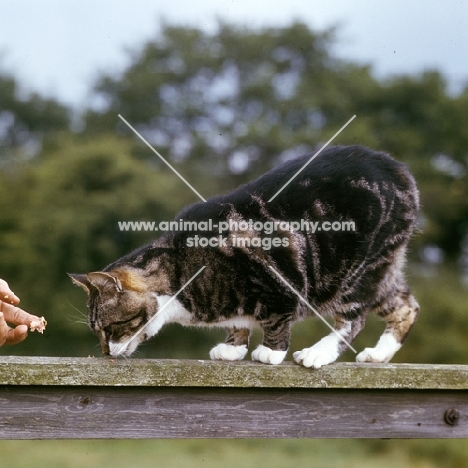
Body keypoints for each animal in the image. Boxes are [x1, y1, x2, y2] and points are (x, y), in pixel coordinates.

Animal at [69, 146, 420, 370]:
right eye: (96, 331)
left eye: (110, 327)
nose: (106, 352)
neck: (179, 271)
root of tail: (399, 169)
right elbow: (240, 320)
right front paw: (233, 346)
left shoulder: (276, 281)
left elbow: (276, 320)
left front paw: (270, 352)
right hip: (379, 270)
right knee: (407, 306)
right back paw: (378, 355)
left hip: (355, 271)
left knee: (353, 319)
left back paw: (318, 353)